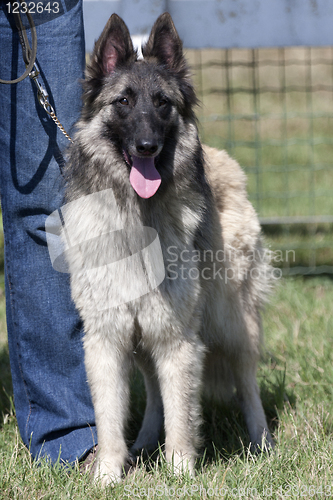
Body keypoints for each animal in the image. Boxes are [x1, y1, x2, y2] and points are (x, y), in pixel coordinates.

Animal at [61, 13, 272, 486]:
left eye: (162, 104)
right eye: (123, 101)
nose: (146, 147)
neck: (136, 216)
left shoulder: (178, 338)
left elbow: (182, 410)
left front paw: (179, 471)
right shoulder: (109, 338)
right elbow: (110, 415)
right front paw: (108, 474)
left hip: (232, 322)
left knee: (246, 383)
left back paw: (262, 443)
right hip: (145, 341)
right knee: (155, 392)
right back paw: (142, 443)